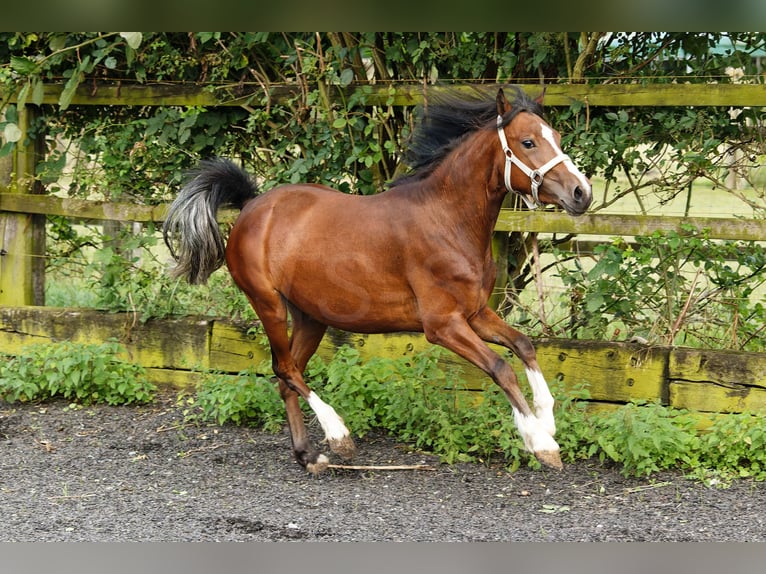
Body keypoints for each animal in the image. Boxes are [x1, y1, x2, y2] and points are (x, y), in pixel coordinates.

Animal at [164, 85, 592, 472]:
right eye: (527, 142)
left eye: (557, 137)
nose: (581, 193)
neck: (447, 220)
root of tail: (252, 205)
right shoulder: (442, 325)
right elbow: (501, 367)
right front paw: (540, 442)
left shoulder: (475, 314)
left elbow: (524, 345)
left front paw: (548, 423)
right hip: (268, 303)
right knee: (284, 369)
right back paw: (338, 436)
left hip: (310, 316)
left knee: (287, 376)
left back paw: (309, 457)